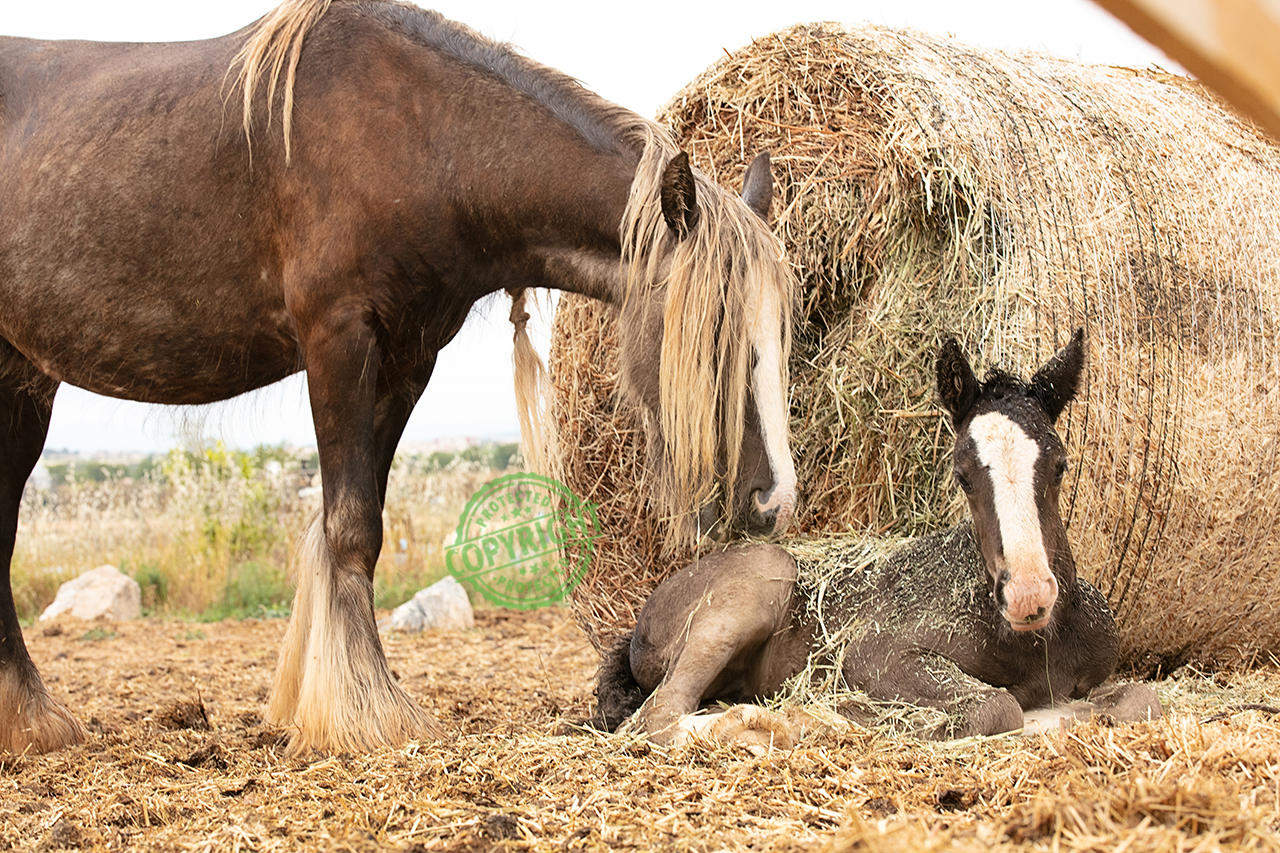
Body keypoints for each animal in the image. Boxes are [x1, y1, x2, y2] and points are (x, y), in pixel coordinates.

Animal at [0, 1, 793, 758]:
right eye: (717, 332)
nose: (773, 500)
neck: (423, 139)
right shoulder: (338, 336)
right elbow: (350, 527)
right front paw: (365, 717)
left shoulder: (408, 359)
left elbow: (352, 523)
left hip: (22, 378)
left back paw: (30, 720)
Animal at [593, 327, 1167, 742]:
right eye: (962, 475)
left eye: (1061, 464)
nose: (1028, 595)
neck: (1037, 641)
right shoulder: (878, 655)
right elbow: (998, 706)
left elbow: (1143, 700)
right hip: (758, 584)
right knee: (658, 717)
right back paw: (787, 721)